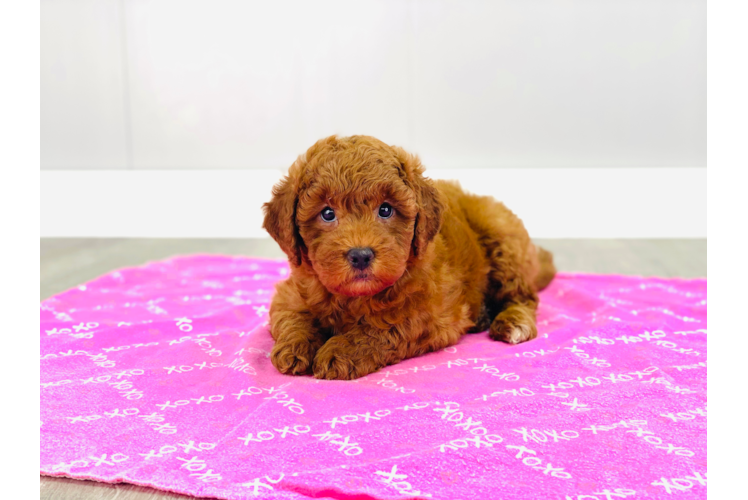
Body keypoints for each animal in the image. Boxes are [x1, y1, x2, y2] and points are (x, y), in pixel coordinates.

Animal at [262, 136, 556, 378]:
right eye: (327, 213)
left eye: (385, 209)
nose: (360, 256)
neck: (354, 298)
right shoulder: (292, 292)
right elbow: (293, 316)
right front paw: (294, 346)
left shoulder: (429, 314)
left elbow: (383, 329)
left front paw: (341, 351)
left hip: (502, 237)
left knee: (523, 296)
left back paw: (513, 323)